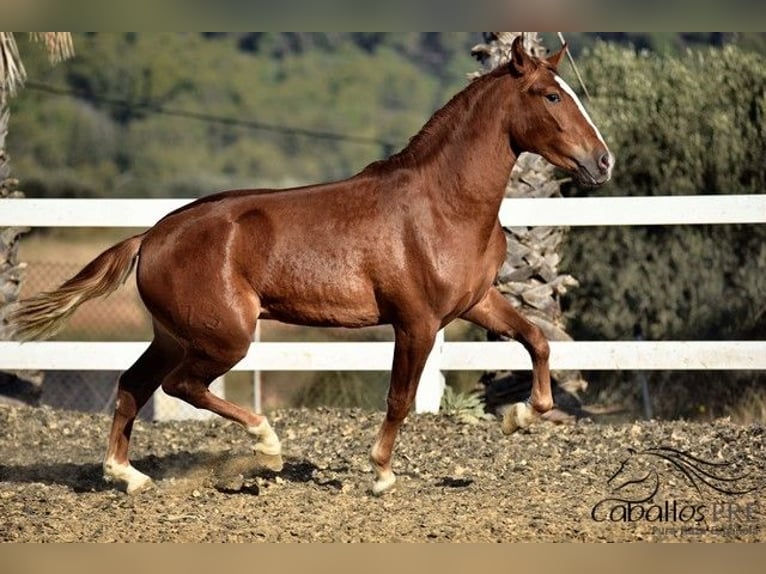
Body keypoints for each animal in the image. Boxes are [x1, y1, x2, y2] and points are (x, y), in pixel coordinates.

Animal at [7, 37, 613, 495]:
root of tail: (153, 235)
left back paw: (128, 476)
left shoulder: (475, 303)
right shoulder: (415, 322)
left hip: (176, 335)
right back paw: (267, 445)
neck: (444, 205)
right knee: (181, 386)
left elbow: (537, 341)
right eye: (551, 95)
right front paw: (381, 475)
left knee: (133, 384)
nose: (602, 162)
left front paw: (520, 416)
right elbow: (399, 398)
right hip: (224, 338)